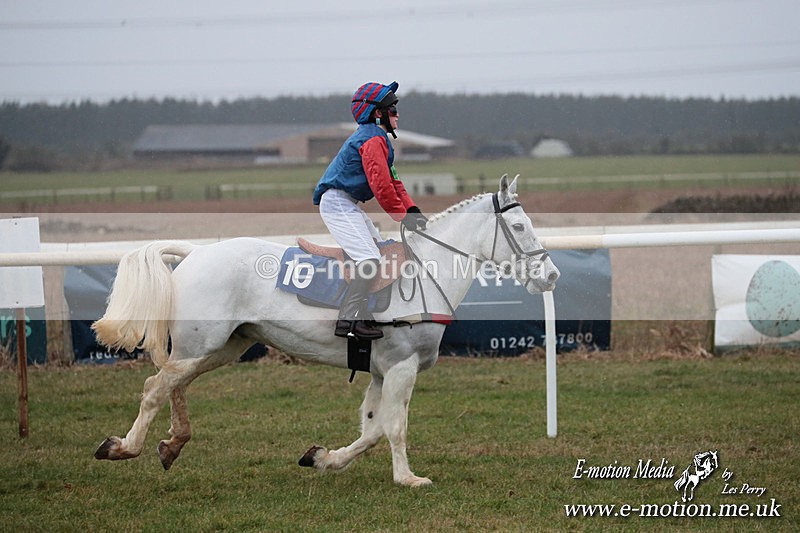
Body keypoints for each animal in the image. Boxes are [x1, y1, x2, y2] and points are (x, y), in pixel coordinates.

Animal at [91, 174, 560, 487]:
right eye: (520, 227)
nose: (552, 275)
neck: (426, 274)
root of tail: (195, 253)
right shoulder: (402, 368)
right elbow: (394, 426)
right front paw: (408, 478)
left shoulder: (381, 371)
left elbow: (371, 429)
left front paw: (322, 458)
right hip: (202, 344)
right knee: (155, 386)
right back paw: (123, 447)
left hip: (219, 346)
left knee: (175, 384)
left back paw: (172, 444)